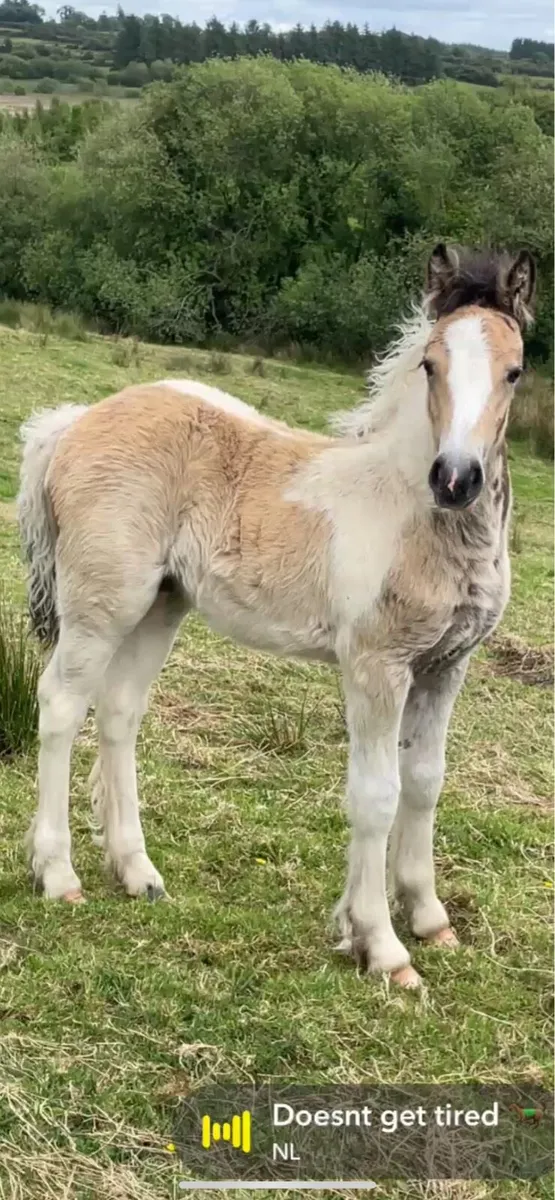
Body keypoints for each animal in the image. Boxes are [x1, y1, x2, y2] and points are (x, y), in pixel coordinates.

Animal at [18, 243, 535, 989]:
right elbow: (376, 794)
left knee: (119, 712)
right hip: (101, 602)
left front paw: (428, 918)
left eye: (513, 371)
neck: (417, 518)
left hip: (162, 604)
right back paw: (58, 875)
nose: (456, 478)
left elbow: (424, 783)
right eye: (429, 364)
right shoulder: (375, 666)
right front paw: (381, 947)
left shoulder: (444, 667)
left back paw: (138, 872)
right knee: (61, 703)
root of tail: (76, 421)